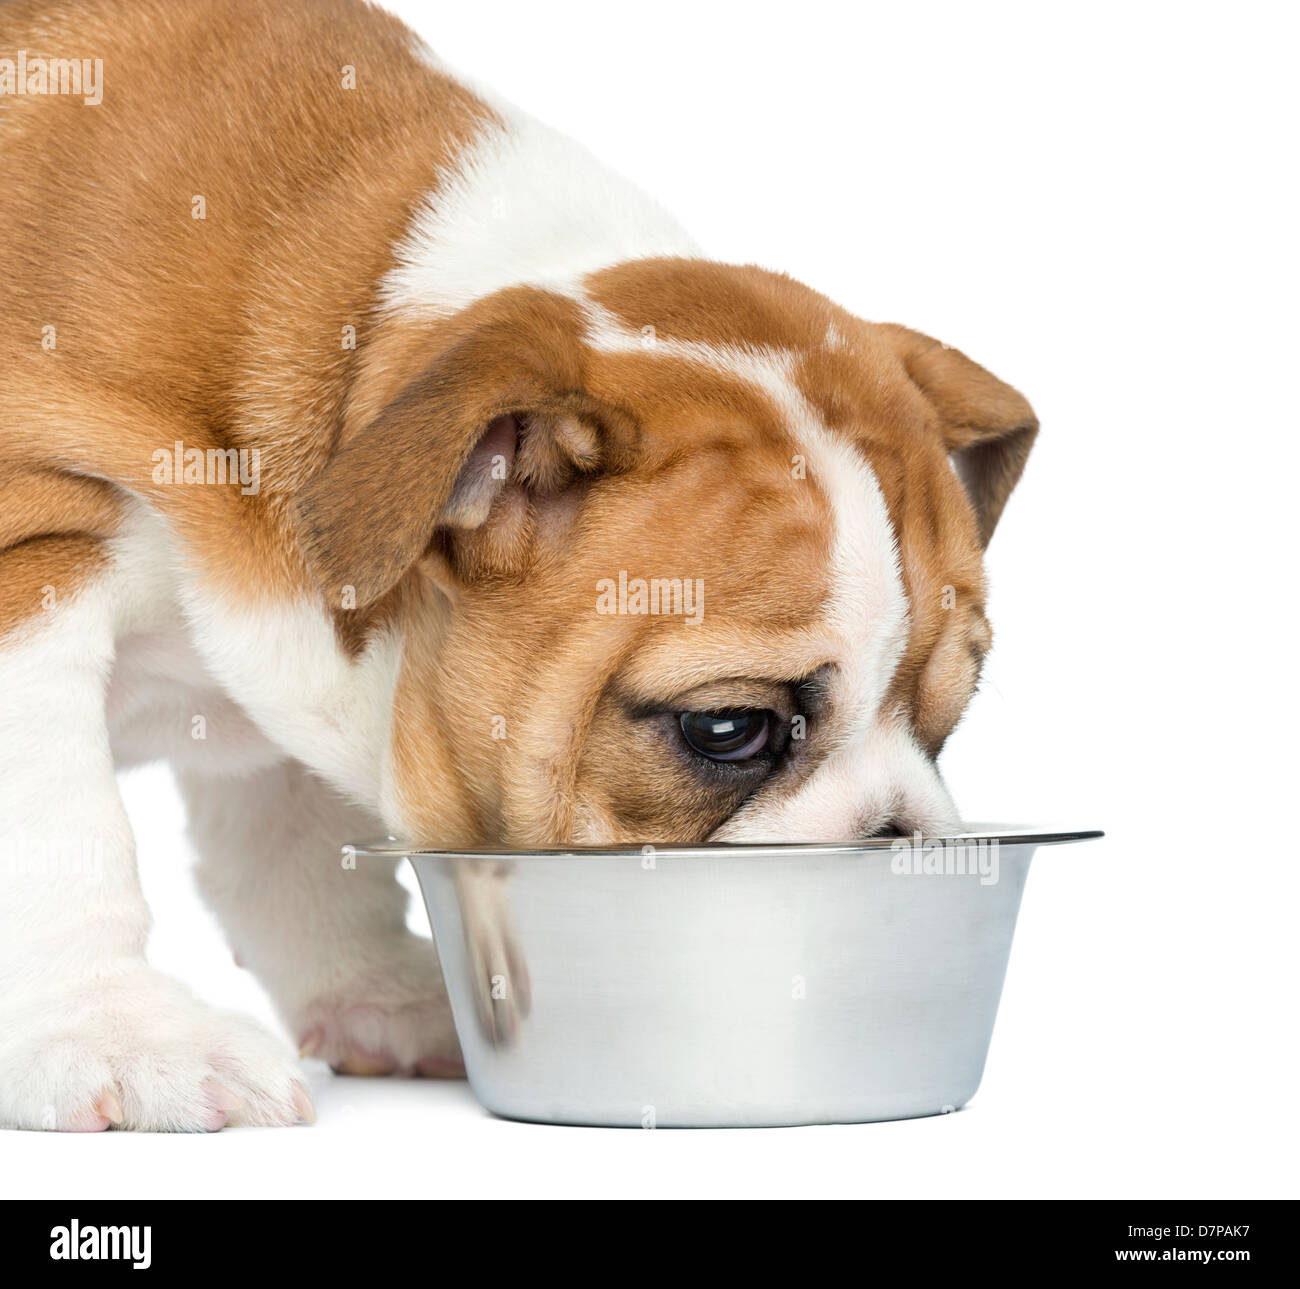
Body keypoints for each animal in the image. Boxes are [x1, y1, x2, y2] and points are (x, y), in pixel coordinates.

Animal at [0, 0, 1034, 1127]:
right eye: (726, 728)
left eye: (947, 719)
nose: (897, 832)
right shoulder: (33, 547)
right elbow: (59, 824)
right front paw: (115, 1037)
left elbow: (290, 837)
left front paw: (379, 991)